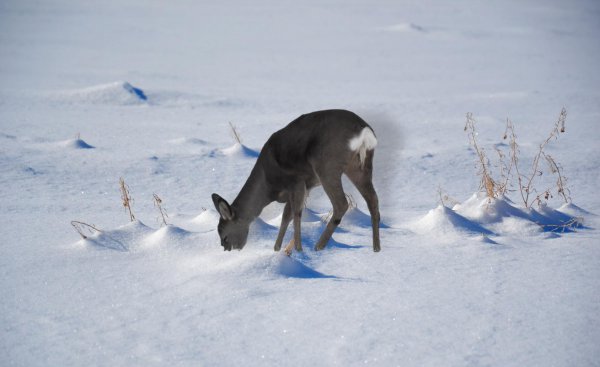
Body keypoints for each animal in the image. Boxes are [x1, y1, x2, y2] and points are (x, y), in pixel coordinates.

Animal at [211, 109, 380, 253]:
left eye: (225, 236)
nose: (228, 249)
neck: (268, 186)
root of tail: (365, 132)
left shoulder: (296, 181)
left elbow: (296, 214)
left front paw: (298, 249)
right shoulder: (304, 187)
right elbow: (286, 215)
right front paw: (277, 248)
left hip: (327, 165)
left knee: (341, 204)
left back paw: (318, 246)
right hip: (360, 166)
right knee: (372, 199)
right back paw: (376, 248)